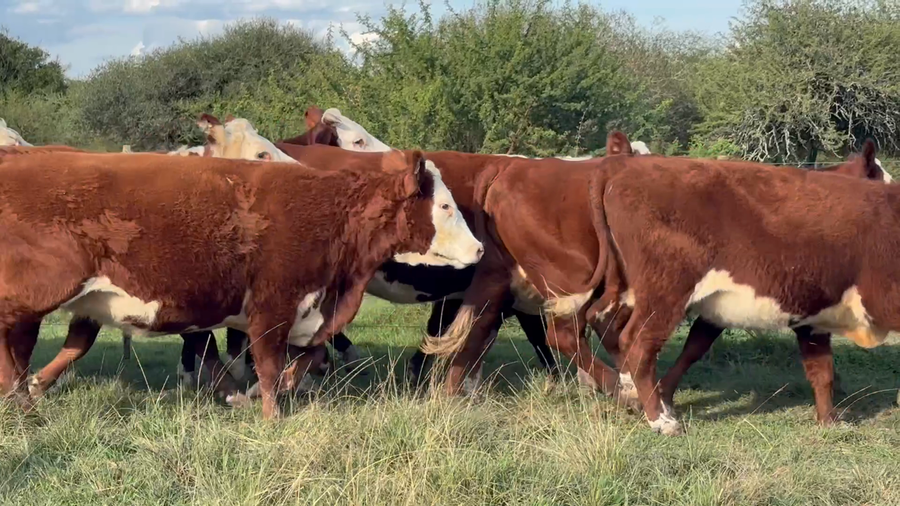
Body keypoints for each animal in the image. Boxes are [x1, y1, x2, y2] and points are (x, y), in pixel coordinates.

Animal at [0, 146, 483, 417]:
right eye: (444, 206)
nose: (480, 249)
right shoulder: (273, 305)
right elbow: (269, 365)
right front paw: (270, 416)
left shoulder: (307, 311)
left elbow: (306, 358)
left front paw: (247, 398)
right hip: (35, 293)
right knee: (14, 342)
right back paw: (20, 399)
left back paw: (26, 394)